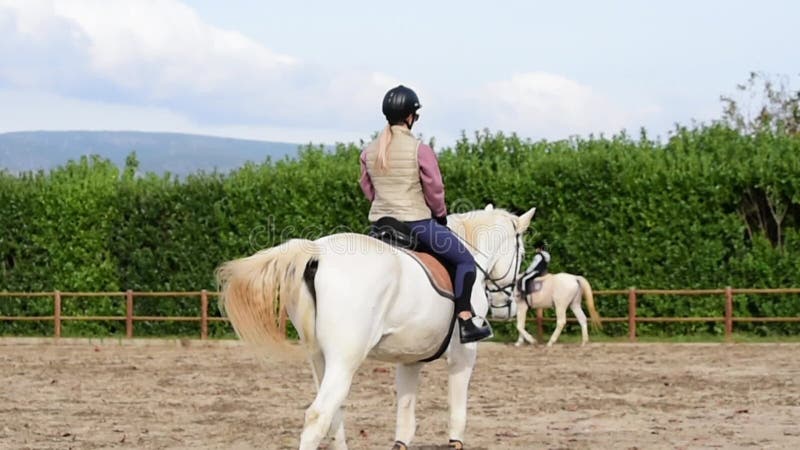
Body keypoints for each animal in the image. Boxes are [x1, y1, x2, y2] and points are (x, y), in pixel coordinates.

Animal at [216, 205, 536, 450]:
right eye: (521, 251)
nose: (505, 306)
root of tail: (317, 251)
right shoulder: (464, 355)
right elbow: (456, 410)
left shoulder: (410, 359)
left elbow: (405, 416)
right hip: (345, 360)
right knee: (318, 416)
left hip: (321, 359)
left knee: (334, 414)